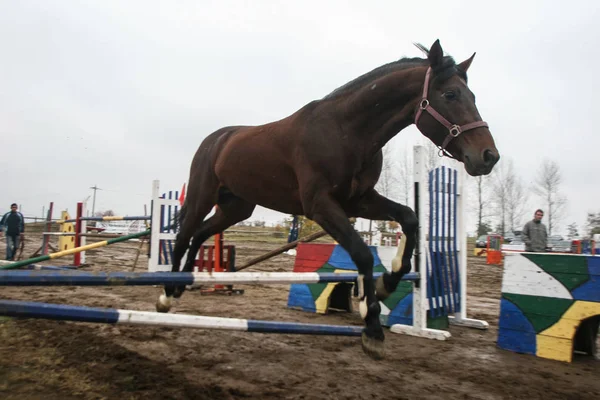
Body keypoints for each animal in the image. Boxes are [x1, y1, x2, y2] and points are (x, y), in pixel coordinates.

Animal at [157, 39, 500, 360]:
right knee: (184, 235)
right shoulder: (320, 206)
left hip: (236, 208)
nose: (488, 156)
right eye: (451, 95)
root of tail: (216, 139)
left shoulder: (359, 201)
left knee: (200, 233)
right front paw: (371, 326)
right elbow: (362, 254)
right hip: (202, 196)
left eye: (472, 97)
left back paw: (181, 286)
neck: (347, 131)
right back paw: (165, 295)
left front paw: (385, 284)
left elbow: (409, 218)